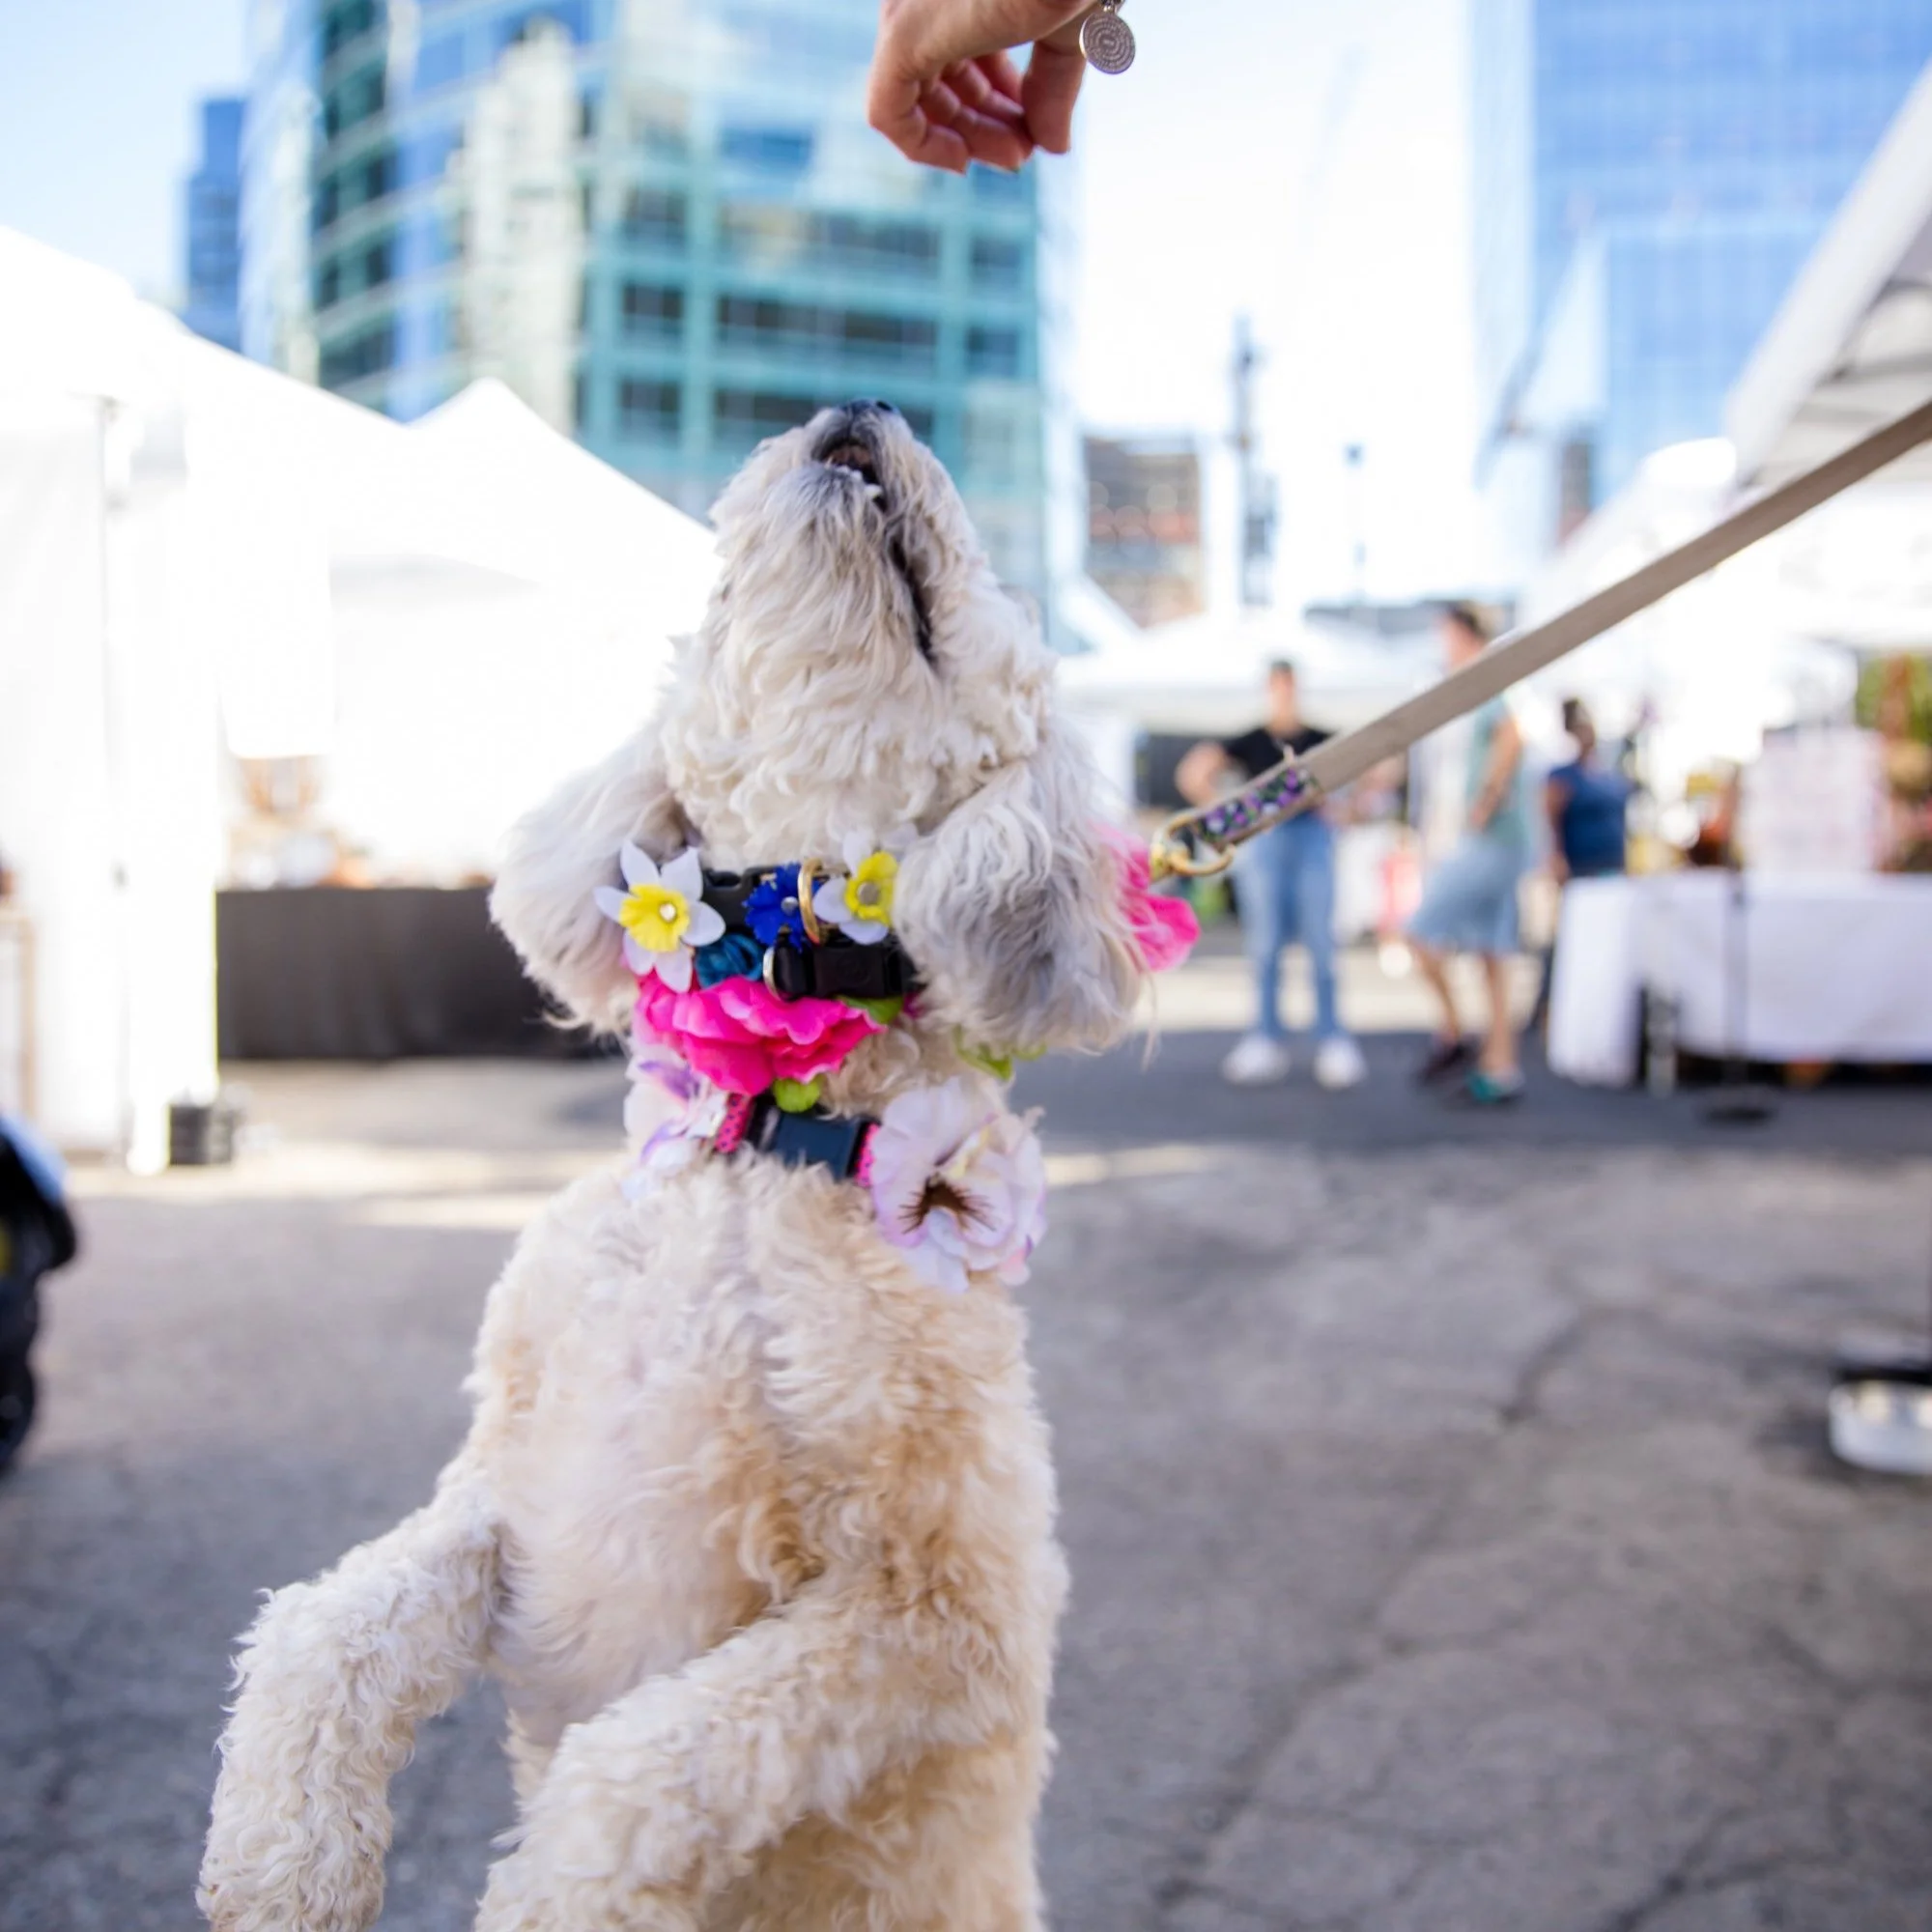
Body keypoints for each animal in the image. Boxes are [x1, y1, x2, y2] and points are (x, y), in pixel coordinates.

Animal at [199, 400, 1193, 1931]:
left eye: (962, 594)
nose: (865, 406)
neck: (749, 1149)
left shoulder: (934, 1609)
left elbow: (624, 1779)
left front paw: (534, 1895)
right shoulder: (508, 1490)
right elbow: (324, 1627)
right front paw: (282, 1861)